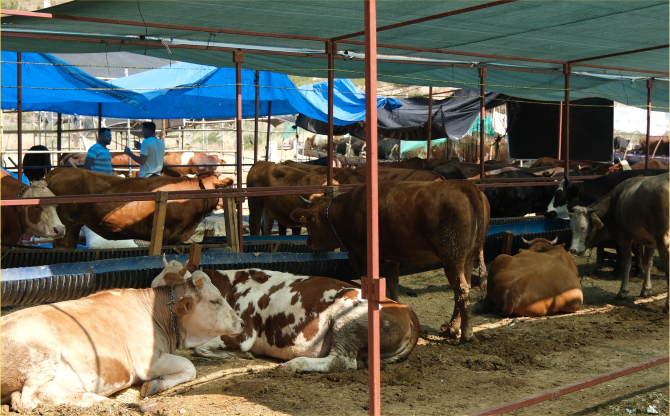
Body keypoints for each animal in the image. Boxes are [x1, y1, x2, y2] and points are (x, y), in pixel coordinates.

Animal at [0, 268, 244, 412]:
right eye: (214, 301)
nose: (241, 323)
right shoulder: (146, 361)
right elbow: (190, 366)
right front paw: (154, 385)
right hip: (45, 353)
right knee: (32, 396)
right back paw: (100, 401)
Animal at [189, 270, 420, 374]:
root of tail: (405, 309)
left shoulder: (244, 333)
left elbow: (200, 348)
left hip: (348, 321)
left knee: (341, 360)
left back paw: (294, 364)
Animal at [288, 180, 488, 342]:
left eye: (310, 221)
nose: (308, 242)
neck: (346, 210)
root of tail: (462, 184)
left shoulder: (362, 255)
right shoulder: (393, 257)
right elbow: (392, 284)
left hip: (452, 256)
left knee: (461, 289)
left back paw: (466, 334)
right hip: (467, 258)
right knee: (463, 289)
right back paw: (451, 330)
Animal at [568, 172, 668, 312]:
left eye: (582, 227)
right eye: (572, 227)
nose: (573, 250)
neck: (614, 202)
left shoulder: (624, 238)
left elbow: (626, 263)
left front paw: (623, 292)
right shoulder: (650, 241)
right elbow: (647, 263)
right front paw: (646, 290)